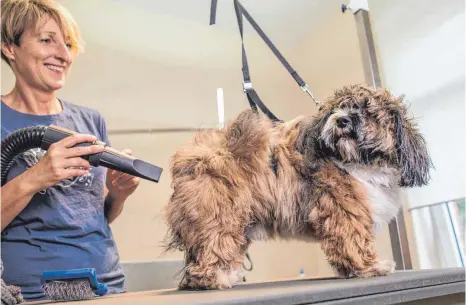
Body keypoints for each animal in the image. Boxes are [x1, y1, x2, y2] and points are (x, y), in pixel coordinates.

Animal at [163, 84, 430, 288]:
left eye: (368, 110)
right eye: (336, 109)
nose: (342, 119)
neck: (356, 162)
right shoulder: (344, 210)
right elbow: (353, 241)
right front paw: (370, 267)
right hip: (218, 215)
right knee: (211, 249)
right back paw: (217, 278)